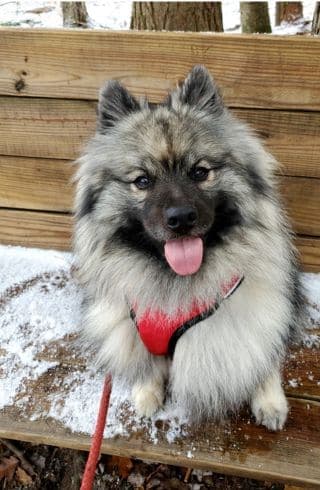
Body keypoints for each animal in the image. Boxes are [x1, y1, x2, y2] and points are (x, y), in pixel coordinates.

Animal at [74, 64, 304, 428]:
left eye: (199, 172)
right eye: (142, 181)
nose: (180, 218)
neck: (176, 284)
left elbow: (263, 354)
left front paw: (268, 400)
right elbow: (146, 363)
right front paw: (147, 392)